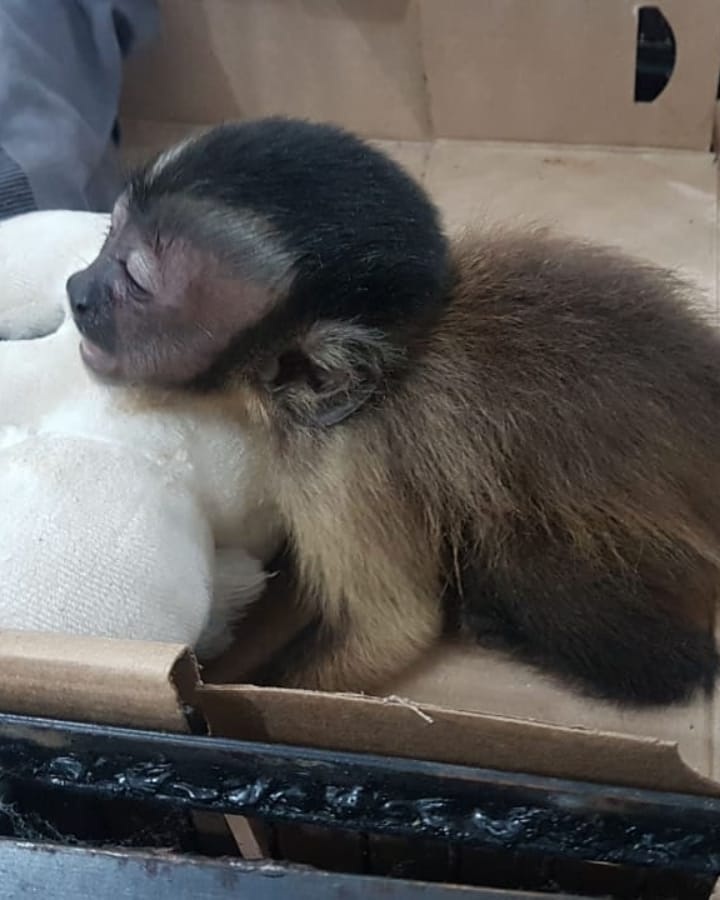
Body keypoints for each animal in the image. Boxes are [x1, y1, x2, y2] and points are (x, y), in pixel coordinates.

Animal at [65, 116, 720, 707]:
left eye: (135, 280)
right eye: (109, 234)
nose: (77, 290)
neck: (408, 352)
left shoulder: (335, 465)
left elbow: (393, 630)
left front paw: (226, 689)